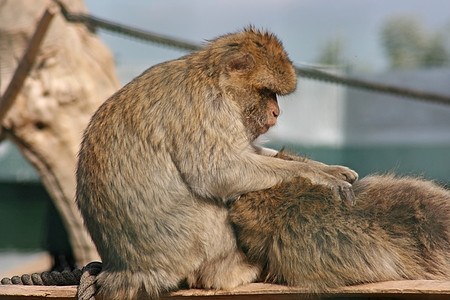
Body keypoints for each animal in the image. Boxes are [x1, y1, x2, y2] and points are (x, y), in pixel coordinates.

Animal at [75, 27, 356, 298]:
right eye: (267, 92)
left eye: (274, 94)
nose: (276, 113)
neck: (214, 80)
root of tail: (126, 270)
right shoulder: (208, 107)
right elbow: (219, 172)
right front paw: (318, 175)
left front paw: (329, 169)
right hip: (190, 251)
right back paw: (232, 271)